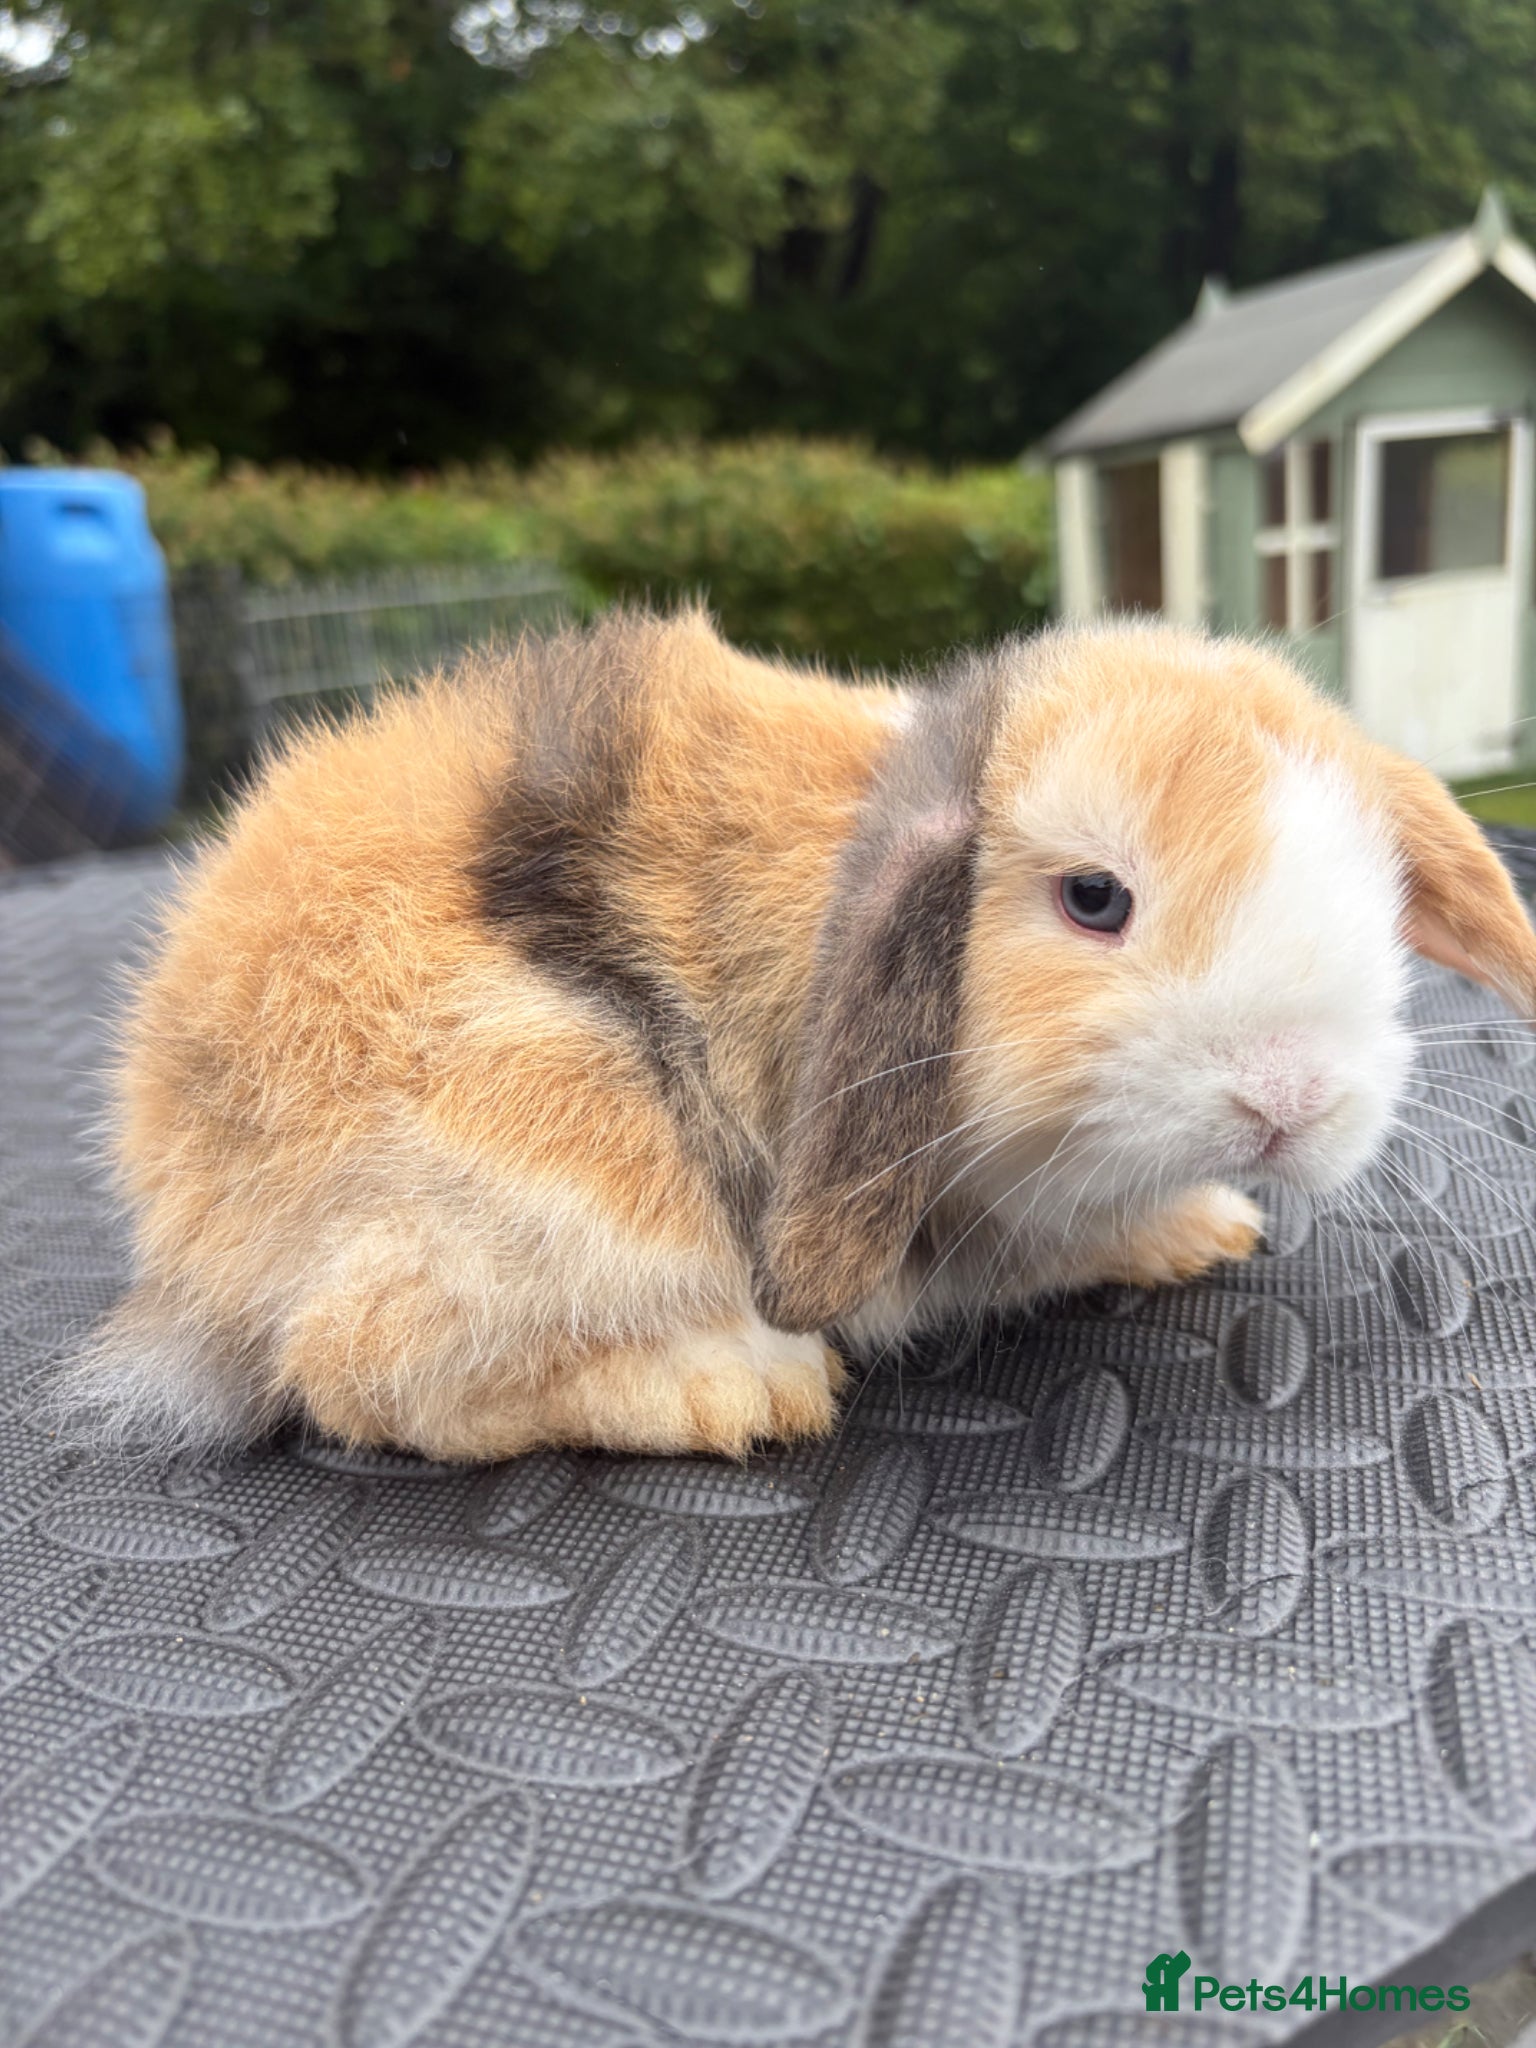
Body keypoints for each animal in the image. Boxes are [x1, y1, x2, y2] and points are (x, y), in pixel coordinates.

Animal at [63, 607, 1536, 1462]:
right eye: (1095, 897)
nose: (1290, 1097)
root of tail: (193, 1231)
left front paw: (1206, 1227)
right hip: (563, 1145)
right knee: (359, 1373)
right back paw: (737, 1387)